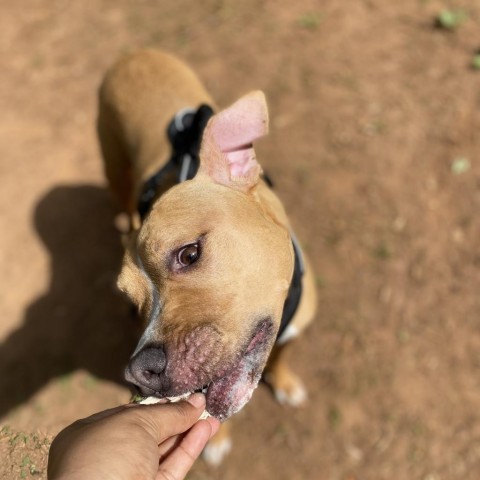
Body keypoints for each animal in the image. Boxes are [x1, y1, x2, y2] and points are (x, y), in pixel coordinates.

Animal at [96, 49, 316, 464]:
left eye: (189, 254)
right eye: (134, 300)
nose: (138, 372)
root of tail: (134, 53)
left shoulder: (295, 330)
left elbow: (280, 356)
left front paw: (285, 383)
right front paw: (216, 441)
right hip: (114, 166)